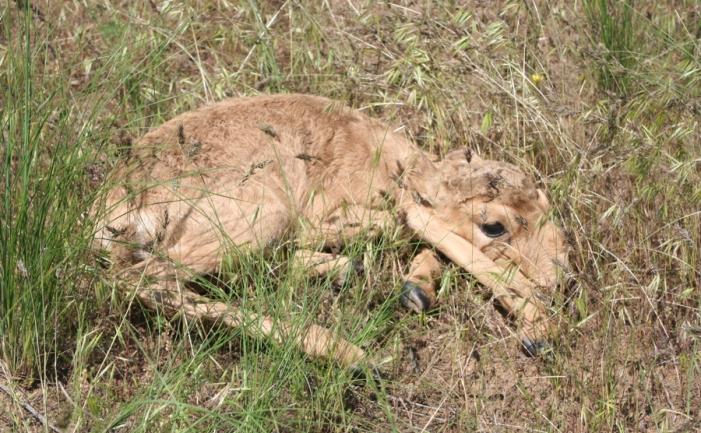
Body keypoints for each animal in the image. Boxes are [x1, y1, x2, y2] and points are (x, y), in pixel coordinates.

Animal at [95, 93, 568, 366]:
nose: (560, 279)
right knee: (142, 282)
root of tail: (116, 210)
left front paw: (417, 288)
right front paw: (540, 333)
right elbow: (417, 226)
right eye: (494, 226)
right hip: (259, 217)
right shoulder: (327, 214)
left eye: (547, 205)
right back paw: (352, 352)